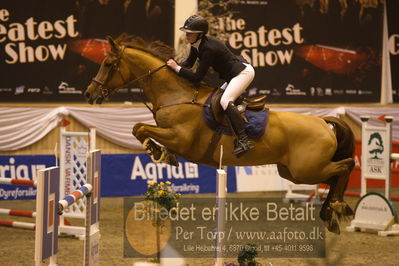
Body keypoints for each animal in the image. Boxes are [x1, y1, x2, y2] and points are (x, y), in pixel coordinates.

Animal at [85, 35, 356, 235]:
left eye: (107, 64)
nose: (89, 94)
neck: (177, 94)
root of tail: (324, 123)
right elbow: (137, 128)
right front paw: (159, 152)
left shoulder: (180, 139)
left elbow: (141, 128)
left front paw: (158, 151)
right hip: (291, 171)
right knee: (335, 174)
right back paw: (331, 214)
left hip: (305, 169)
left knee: (345, 165)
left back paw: (337, 207)